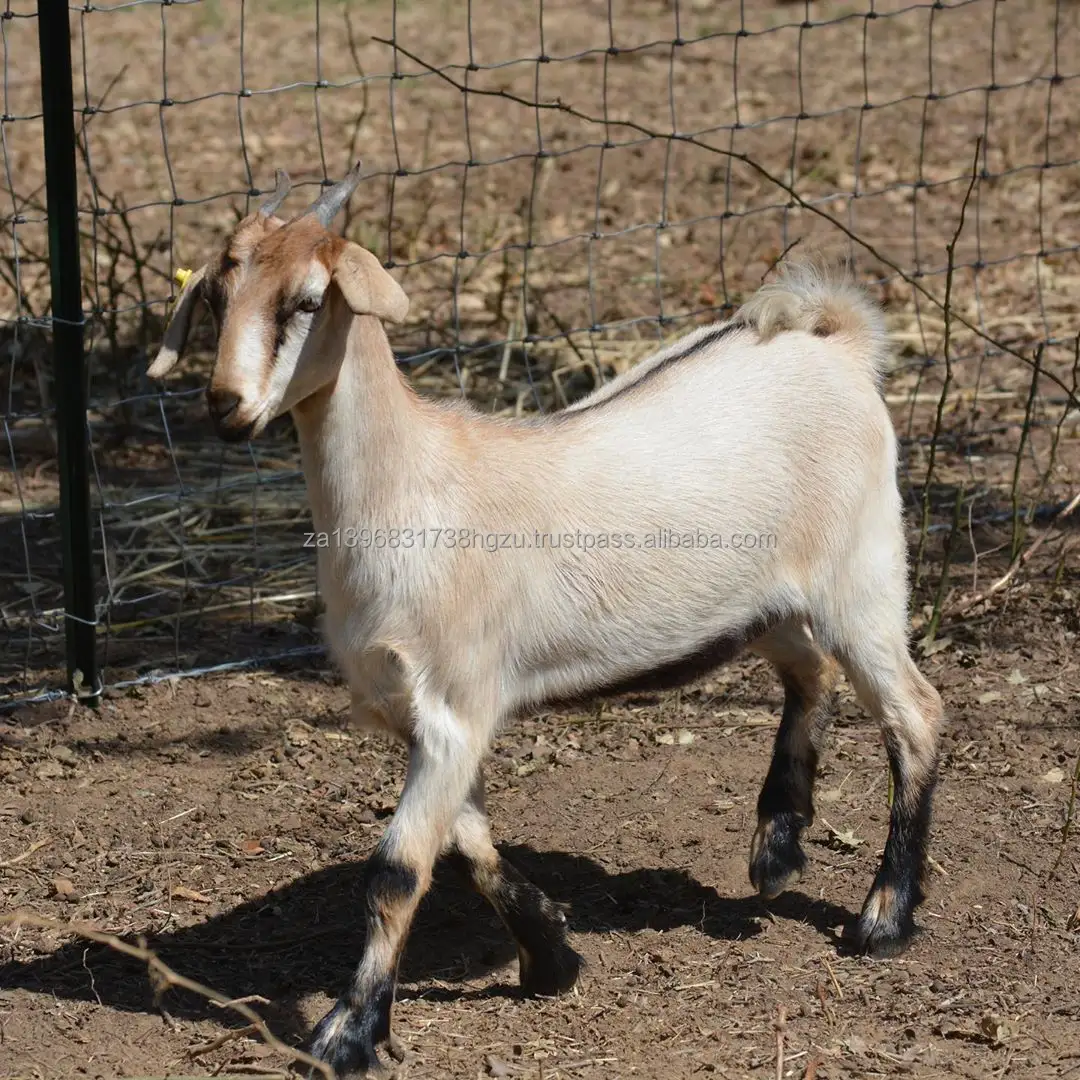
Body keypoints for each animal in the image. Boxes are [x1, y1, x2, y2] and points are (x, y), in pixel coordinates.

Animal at [150, 162, 946, 1080]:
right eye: (218, 294)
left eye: (309, 299)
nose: (225, 403)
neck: (413, 486)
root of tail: (836, 344)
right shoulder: (422, 716)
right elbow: (468, 847)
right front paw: (551, 954)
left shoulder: (455, 705)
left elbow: (396, 872)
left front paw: (347, 1034)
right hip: (764, 601)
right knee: (809, 671)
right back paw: (776, 846)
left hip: (863, 574)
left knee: (915, 714)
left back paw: (883, 917)